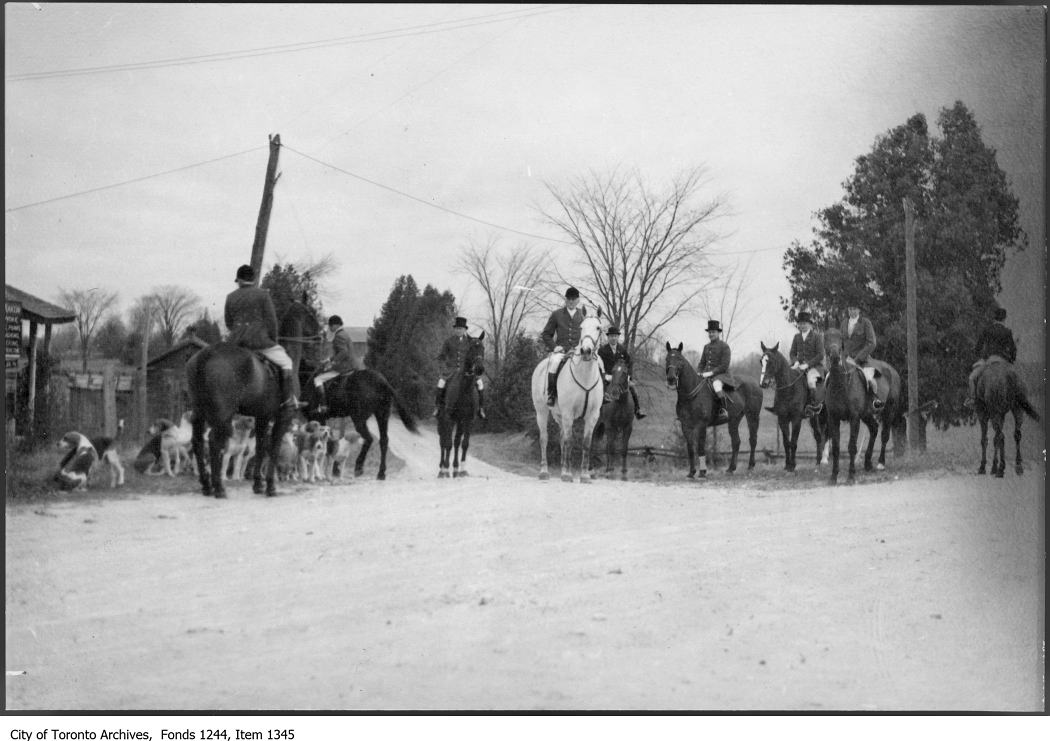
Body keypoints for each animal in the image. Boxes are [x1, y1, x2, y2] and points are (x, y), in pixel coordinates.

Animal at [436, 329, 485, 478]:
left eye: (483, 348)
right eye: (471, 348)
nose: (480, 369)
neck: (465, 389)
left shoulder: (468, 420)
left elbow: (464, 443)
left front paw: (461, 469)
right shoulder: (449, 418)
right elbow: (448, 443)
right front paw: (446, 469)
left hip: (460, 422)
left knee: (457, 441)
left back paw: (456, 468)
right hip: (442, 420)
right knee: (443, 442)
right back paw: (442, 469)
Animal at [533, 310, 609, 478]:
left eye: (598, 328)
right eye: (581, 327)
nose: (586, 351)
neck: (585, 376)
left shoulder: (592, 415)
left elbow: (586, 443)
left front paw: (584, 475)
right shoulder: (568, 413)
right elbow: (569, 441)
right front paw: (567, 474)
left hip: (559, 414)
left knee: (561, 438)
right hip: (542, 411)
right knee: (544, 438)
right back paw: (544, 471)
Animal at [663, 344, 764, 476]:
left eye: (679, 359)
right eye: (667, 359)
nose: (671, 379)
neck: (691, 394)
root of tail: (755, 383)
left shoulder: (701, 425)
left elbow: (701, 447)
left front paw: (702, 472)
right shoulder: (685, 426)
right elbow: (690, 448)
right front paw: (691, 472)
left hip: (752, 416)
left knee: (753, 439)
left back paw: (750, 466)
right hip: (734, 419)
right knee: (736, 442)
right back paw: (731, 468)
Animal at [760, 340, 823, 468]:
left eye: (771, 362)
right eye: (761, 361)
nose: (763, 383)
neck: (788, 389)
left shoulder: (796, 419)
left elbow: (793, 442)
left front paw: (792, 465)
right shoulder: (782, 419)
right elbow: (786, 443)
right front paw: (787, 465)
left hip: (817, 415)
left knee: (819, 436)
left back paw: (819, 462)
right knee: (817, 436)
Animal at [818, 325, 902, 482]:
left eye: (840, 337)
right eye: (826, 338)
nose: (835, 357)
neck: (841, 383)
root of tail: (892, 370)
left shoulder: (854, 417)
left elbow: (852, 446)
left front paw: (851, 475)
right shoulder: (833, 418)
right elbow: (836, 446)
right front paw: (834, 476)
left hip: (889, 410)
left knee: (884, 435)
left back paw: (880, 463)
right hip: (867, 414)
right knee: (874, 429)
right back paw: (868, 462)